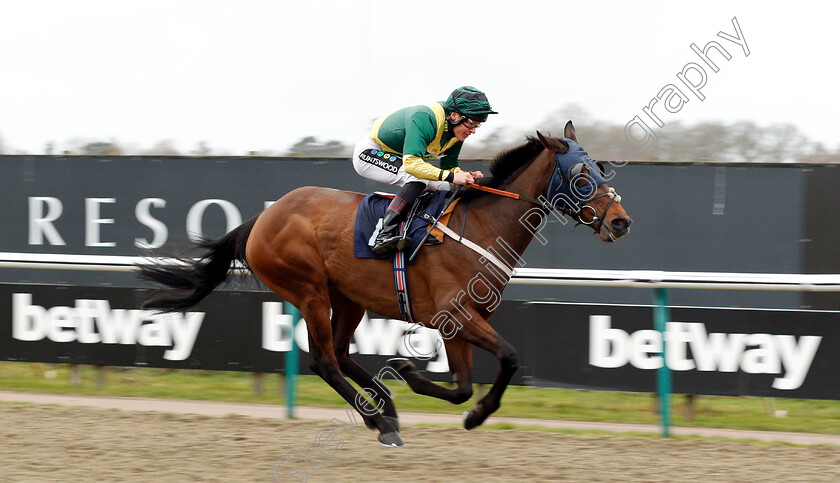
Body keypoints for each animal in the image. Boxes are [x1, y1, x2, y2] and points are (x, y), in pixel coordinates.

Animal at [138, 121, 632, 446]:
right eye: (582, 176)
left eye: (600, 168)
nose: (621, 222)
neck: (481, 227)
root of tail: (262, 218)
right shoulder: (455, 312)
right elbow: (509, 358)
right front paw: (473, 413)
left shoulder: (459, 321)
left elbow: (463, 385)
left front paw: (416, 377)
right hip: (309, 290)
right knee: (324, 361)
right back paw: (381, 423)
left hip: (347, 297)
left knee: (340, 354)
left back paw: (386, 407)